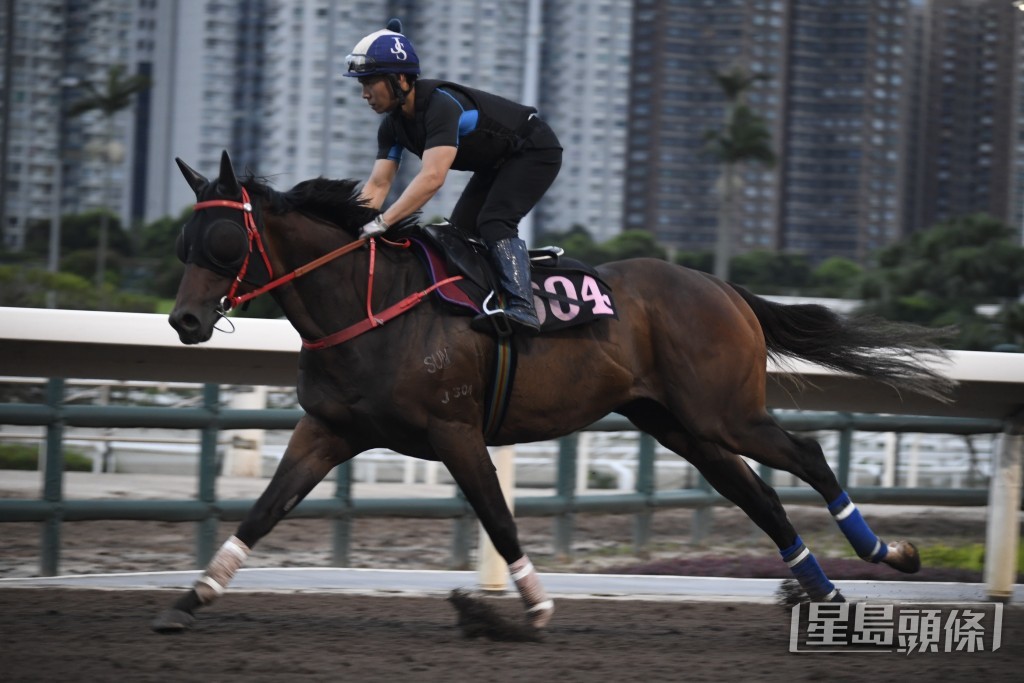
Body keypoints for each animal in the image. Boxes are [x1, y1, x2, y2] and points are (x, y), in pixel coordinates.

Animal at [151, 152, 950, 634]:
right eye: (184, 242)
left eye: (224, 241)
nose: (185, 321)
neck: (368, 302)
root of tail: (723, 287)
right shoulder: (328, 429)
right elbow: (263, 510)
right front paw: (192, 597)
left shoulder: (455, 430)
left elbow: (499, 519)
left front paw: (530, 608)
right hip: (683, 426)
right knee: (760, 498)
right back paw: (824, 591)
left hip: (724, 412)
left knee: (806, 454)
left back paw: (887, 553)